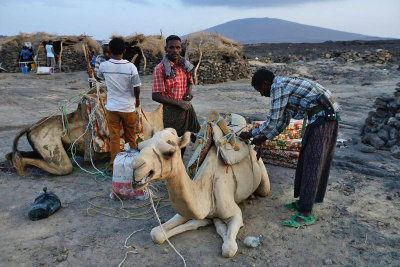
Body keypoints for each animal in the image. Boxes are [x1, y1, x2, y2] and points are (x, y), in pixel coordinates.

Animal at [133, 129, 270, 258]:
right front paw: (206, 222)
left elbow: (229, 249)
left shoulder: (235, 213)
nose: (135, 167)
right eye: (140, 147)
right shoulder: (189, 210)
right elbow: (156, 233)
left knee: (264, 190)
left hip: (263, 181)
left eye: (170, 153)